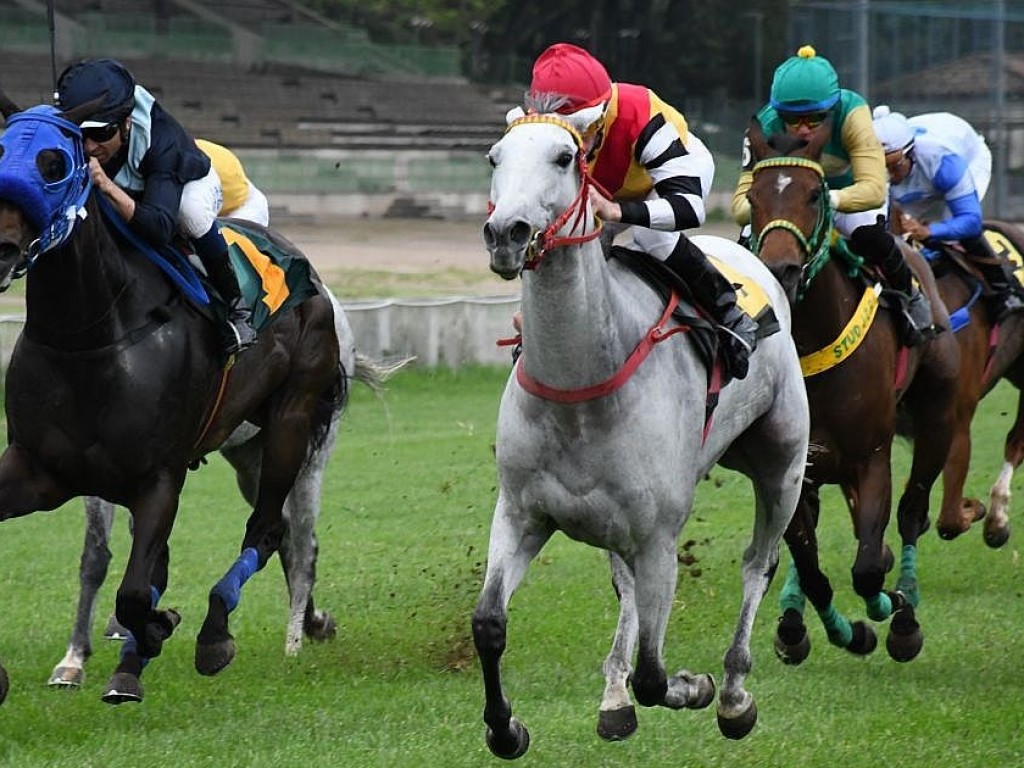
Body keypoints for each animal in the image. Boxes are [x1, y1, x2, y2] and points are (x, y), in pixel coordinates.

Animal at [48, 294, 399, 692]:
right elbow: (96, 557)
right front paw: (74, 659)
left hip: (307, 457)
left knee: (303, 547)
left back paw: (293, 641)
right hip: (251, 463)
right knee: (282, 534)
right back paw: (314, 623)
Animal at [475, 108, 811, 757]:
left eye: (564, 157)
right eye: (495, 157)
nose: (506, 233)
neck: (581, 384)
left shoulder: (659, 537)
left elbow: (657, 675)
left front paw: (698, 687)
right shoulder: (521, 513)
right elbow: (488, 624)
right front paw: (506, 728)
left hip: (783, 462)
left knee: (758, 564)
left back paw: (733, 692)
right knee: (624, 586)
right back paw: (614, 696)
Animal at [745, 115, 958, 667]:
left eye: (813, 194)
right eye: (752, 196)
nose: (780, 270)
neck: (812, 343)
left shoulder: (871, 455)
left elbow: (867, 567)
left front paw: (891, 607)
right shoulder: (794, 466)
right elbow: (813, 568)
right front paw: (841, 631)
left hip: (938, 417)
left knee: (911, 512)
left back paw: (903, 613)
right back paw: (796, 622)